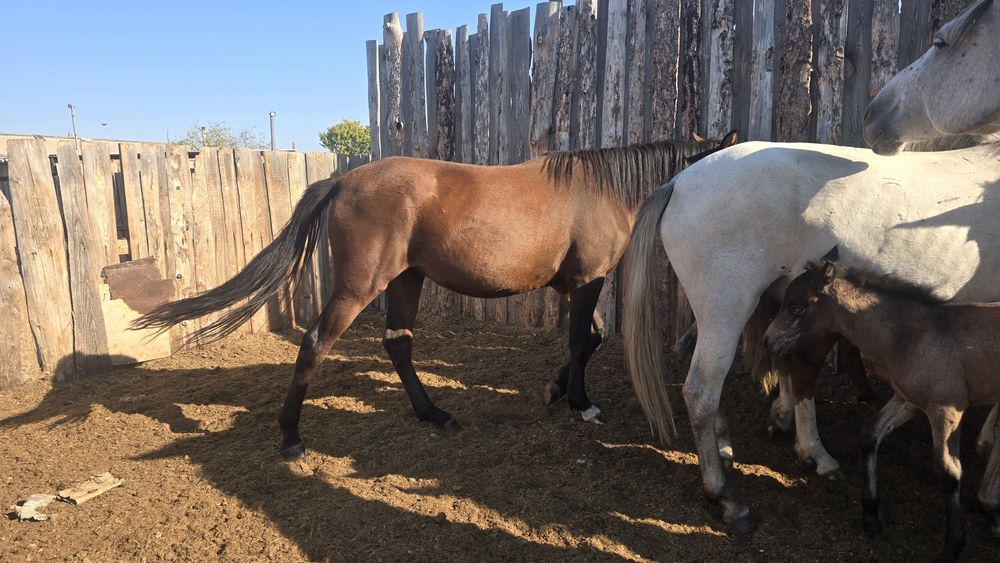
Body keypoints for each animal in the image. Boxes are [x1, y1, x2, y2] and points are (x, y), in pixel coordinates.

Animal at [134, 132, 737, 459]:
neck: (600, 188)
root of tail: (343, 181)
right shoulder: (587, 281)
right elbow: (580, 342)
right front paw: (581, 402)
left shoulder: (572, 287)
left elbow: (588, 340)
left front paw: (555, 390)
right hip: (360, 286)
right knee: (314, 345)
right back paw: (290, 437)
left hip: (406, 280)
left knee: (398, 345)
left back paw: (435, 414)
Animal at [763, 261, 1000, 562]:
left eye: (797, 308)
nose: (768, 340)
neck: (915, 336)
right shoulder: (907, 399)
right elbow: (870, 433)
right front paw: (871, 515)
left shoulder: (947, 410)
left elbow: (949, 474)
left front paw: (953, 546)